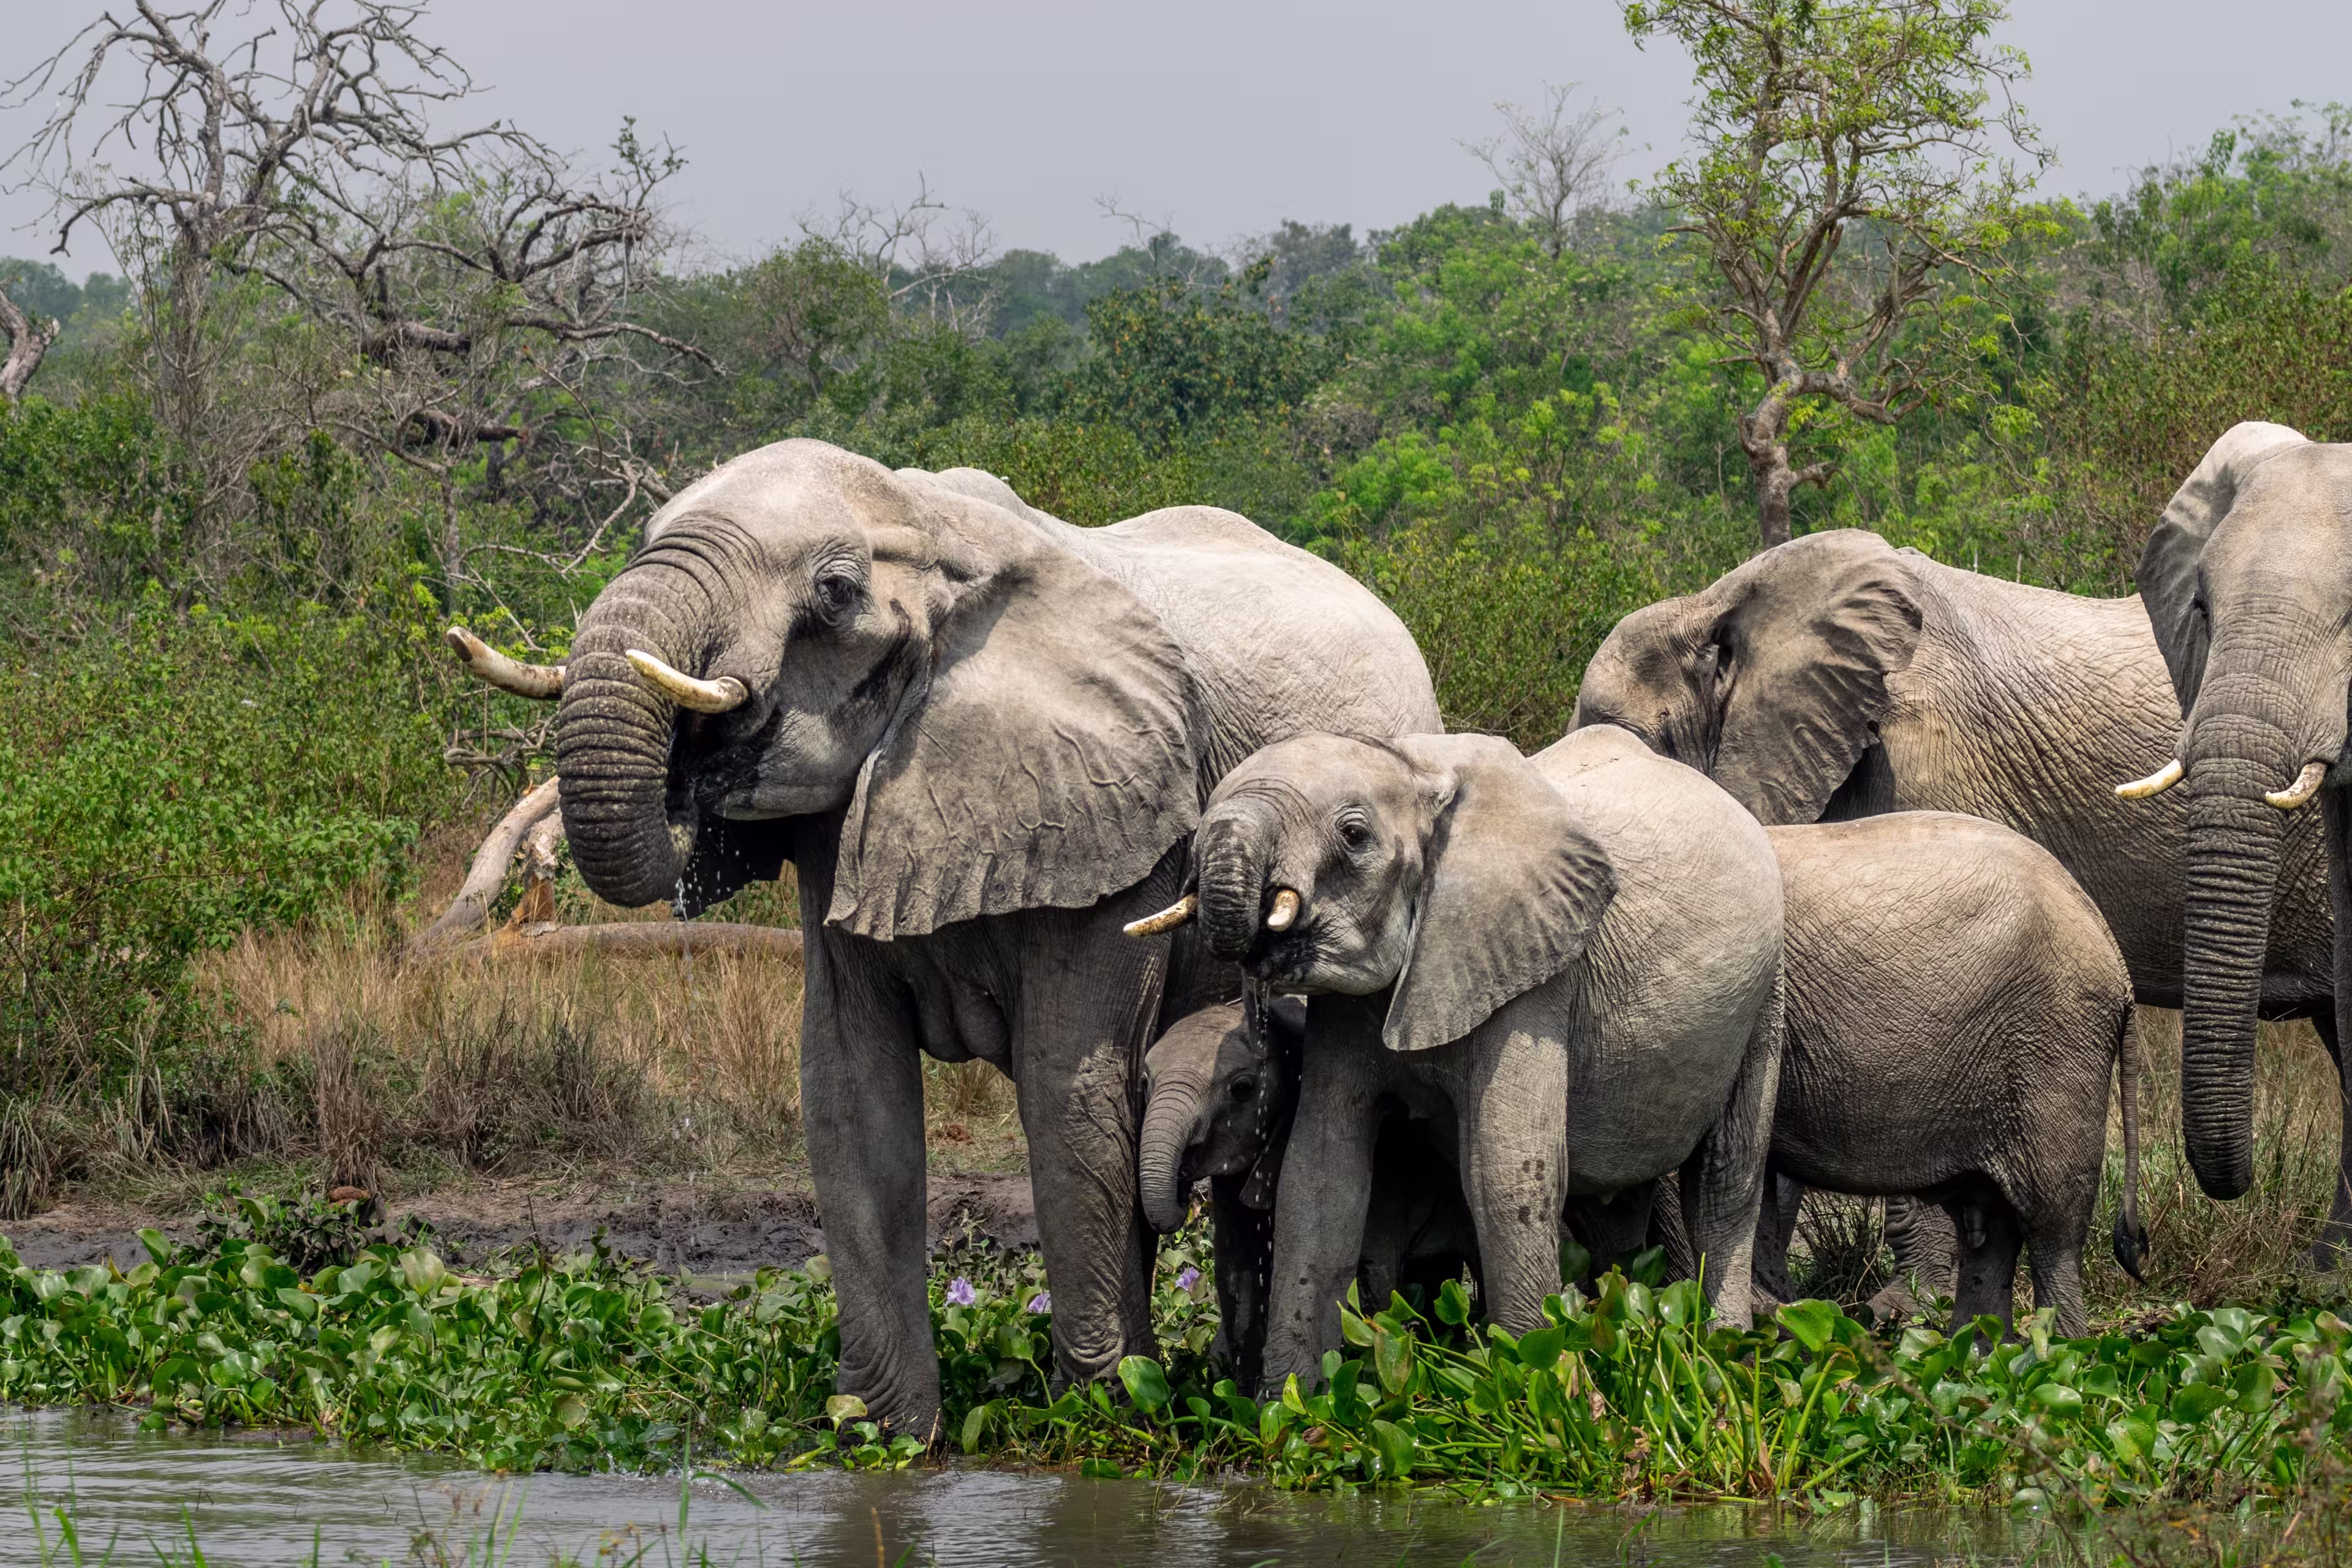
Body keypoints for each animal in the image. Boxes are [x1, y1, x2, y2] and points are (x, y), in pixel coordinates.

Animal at [537, 439, 1439, 1437]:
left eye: (834, 591)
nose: (691, 763)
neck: (929, 526)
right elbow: (850, 1092)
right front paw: (881, 1434)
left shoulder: (1119, 818)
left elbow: (1064, 1086)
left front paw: (1104, 1421)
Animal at [1138, 996, 1479, 1390]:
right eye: (1145, 1083)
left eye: (1242, 1089)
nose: (1184, 1188)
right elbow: (1238, 1272)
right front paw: (1239, 1395)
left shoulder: (1387, 1162)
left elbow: (1373, 1273)